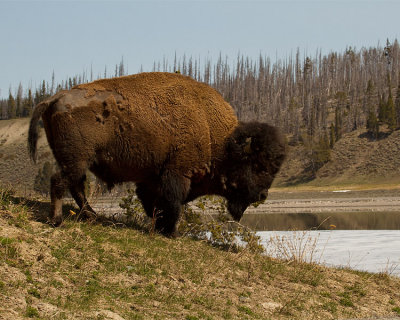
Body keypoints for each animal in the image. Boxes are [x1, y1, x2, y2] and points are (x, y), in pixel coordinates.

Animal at [27, 73, 284, 238]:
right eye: (259, 167)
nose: (263, 194)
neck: (216, 135)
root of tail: (54, 98)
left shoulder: (151, 180)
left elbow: (154, 204)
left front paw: (158, 228)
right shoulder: (177, 174)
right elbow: (172, 204)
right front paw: (171, 233)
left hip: (77, 162)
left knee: (76, 186)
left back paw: (92, 216)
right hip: (77, 160)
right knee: (60, 182)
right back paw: (57, 220)